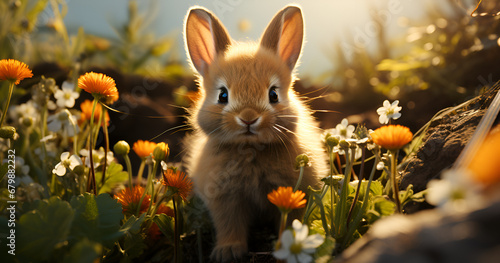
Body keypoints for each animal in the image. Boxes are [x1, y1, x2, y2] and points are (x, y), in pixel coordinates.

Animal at [184, 4, 328, 263]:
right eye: (223, 95)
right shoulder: (225, 199)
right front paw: (228, 251)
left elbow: (289, 221)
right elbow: (229, 225)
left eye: (273, 94)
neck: (250, 149)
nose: (249, 118)